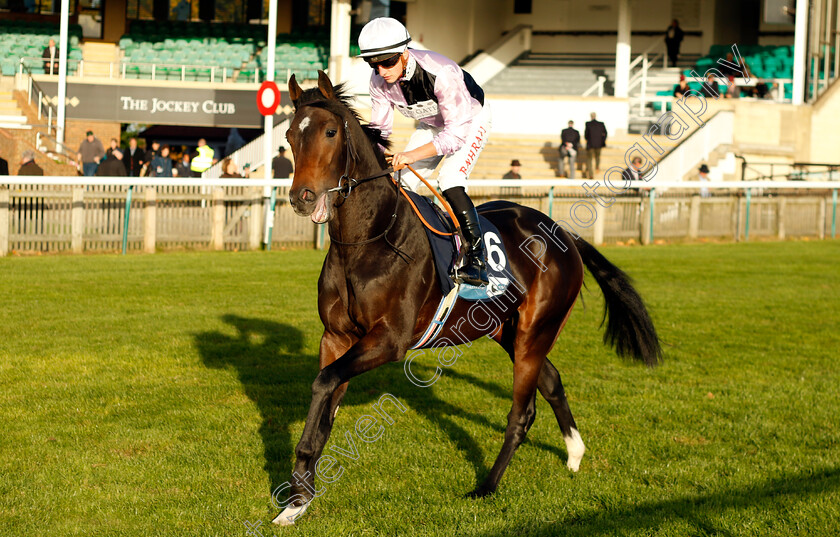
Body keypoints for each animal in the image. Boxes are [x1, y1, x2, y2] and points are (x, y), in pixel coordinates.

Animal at [278, 71, 664, 524]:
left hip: (535, 330)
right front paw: (298, 500)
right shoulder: (336, 336)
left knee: (522, 412)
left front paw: (299, 492)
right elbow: (326, 401)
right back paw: (574, 454)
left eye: (330, 132)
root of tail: (563, 233)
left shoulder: (389, 340)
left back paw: (487, 486)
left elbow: (324, 383)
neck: (369, 239)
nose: (301, 197)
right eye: (289, 135)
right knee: (551, 381)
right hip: (506, 329)